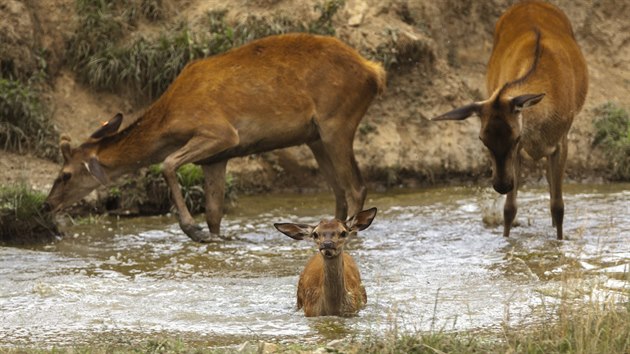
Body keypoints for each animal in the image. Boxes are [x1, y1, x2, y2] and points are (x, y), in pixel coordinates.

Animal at [43, 33, 386, 242]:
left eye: (65, 174)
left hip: (336, 122)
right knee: (338, 192)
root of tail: (374, 72)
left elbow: (167, 164)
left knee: (355, 187)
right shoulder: (215, 159)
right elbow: (214, 214)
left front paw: (191, 229)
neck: (169, 121)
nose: (47, 204)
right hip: (314, 136)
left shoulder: (220, 133)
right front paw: (214, 237)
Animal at [432, 0, 592, 241]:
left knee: (551, 183)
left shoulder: (561, 139)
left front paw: (559, 240)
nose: (501, 185)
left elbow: (558, 206)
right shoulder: (518, 153)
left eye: (516, 137)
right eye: (482, 139)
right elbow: (509, 209)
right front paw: (506, 241)